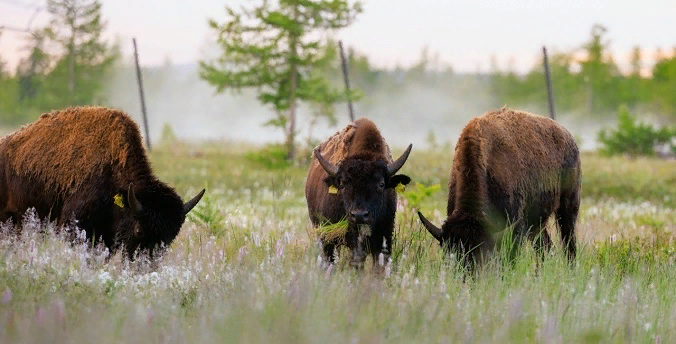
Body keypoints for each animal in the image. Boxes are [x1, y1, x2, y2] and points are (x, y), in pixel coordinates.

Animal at [418, 107, 580, 268]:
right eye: (448, 252)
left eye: (482, 253)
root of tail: (569, 137)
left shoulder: (514, 226)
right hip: (537, 223)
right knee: (546, 246)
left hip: (568, 206)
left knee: (569, 244)